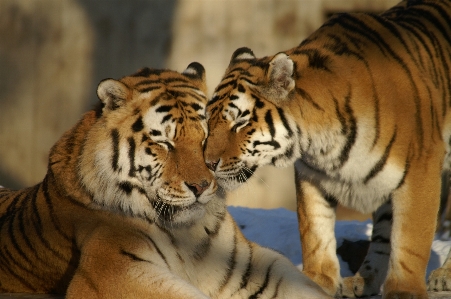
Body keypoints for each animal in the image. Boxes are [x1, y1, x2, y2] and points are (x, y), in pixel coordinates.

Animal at [0, 62, 328, 298]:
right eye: (164, 144)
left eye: (206, 136)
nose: (201, 186)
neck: (188, 233)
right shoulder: (112, 271)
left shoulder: (246, 266)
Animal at [205, 0, 451, 299]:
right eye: (209, 119)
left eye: (240, 121)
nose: (208, 162)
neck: (320, 142)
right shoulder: (311, 175)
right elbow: (315, 230)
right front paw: (316, 281)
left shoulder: (420, 168)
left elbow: (411, 238)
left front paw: (405, 291)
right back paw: (362, 280)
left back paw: (444, 276)